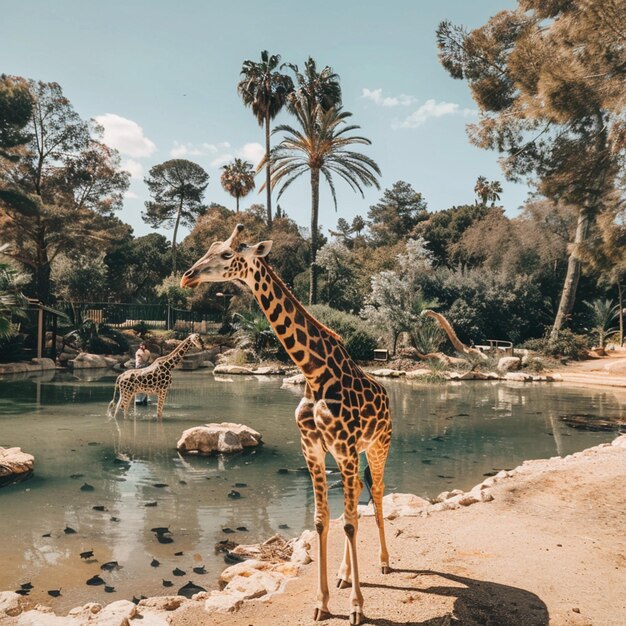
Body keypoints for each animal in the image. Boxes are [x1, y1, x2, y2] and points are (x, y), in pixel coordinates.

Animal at [180, 223, 390, 620]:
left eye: (228, 254)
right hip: (353, 455)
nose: (188, 276)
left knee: (378, 494)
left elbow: (349, 522)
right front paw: (323, 603)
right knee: (358, 499)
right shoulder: (314, 449)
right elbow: (324, 520)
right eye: (210, 247)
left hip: (377, 446)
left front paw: (356, 607)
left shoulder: (345, 449)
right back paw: (344, 575)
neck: (314, 372)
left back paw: (386, 562)